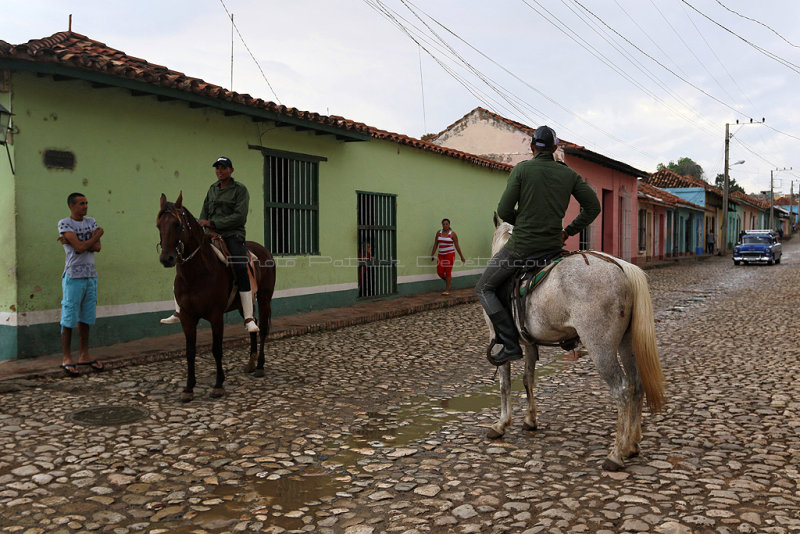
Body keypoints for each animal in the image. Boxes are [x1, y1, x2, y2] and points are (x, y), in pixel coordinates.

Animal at [155, 194, 276, 402]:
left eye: (177, 224)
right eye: (158, 225)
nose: (167, 259)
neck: (197, 273)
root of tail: (264, 250)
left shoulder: (216, 315)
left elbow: (216, 349)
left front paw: (218, 385)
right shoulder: (187, 317)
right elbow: (190, 351)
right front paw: (188, 388)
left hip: (264, 297)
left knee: (263, 329)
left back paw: (260, 366)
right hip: (242, 304)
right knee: (252, 322)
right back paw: (251, 362)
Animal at [488, 216, 664, 472]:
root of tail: (621, 268)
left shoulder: (501, 342)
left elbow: (505, 384)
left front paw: (501, 424)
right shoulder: (529, 345)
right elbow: (528, 380)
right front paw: (530, 420)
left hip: (601, 349)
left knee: (622, 390)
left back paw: (616, 454)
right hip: (626, 344)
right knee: (636, 385)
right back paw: (631, 445)